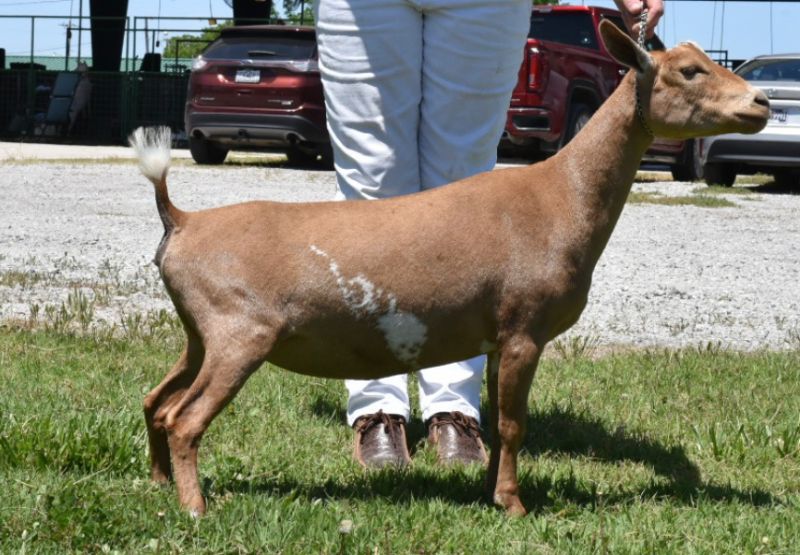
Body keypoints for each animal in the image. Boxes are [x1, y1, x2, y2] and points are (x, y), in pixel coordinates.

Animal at [131, 21, 768, 516]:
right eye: (689, 70)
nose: (761, 104)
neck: (560, 196)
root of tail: (181, 220)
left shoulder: (498, 335)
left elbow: (502, 420)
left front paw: (490, 489)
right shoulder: (525, 328)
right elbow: (513, 423)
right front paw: (514, 504)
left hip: (200, 332)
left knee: (156, 400)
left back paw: (159, 483)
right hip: (240, 331)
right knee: (185, 418)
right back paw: (196, 507)